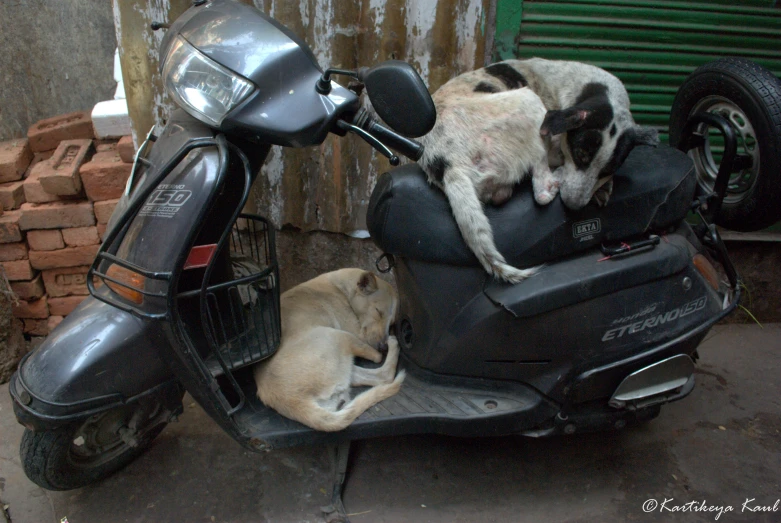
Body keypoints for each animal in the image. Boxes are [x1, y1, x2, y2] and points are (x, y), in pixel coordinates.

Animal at [254, 268, 406, 432]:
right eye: (378, 312)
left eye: (392, 321)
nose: (383, 346)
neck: (341, 287)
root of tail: (294, 401)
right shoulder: (358, 333)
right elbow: (373, 352)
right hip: (338, 335)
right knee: (382, 367)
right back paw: (392, 344)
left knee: (382, 377)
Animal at [420, 58, 660, 282]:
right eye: (580, 154)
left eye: (608, 169)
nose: (574, 206)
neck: (591, 87)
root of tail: (449, 163)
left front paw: (603, 186)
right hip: (529, 101)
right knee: (542, 191)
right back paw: (555, 180)